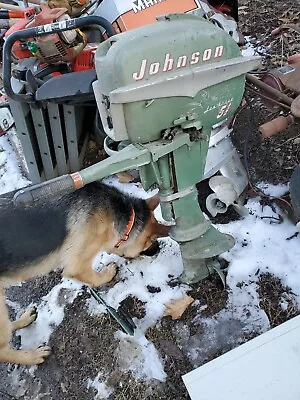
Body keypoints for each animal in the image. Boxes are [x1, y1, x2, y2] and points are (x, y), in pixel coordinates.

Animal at [0, 181, 169, 366]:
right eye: (150, 242)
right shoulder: (78, 265)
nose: (158, 249)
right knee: (3, 351)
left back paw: (23, 320)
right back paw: (32, 356)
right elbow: (93, 277)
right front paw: (108, 273)